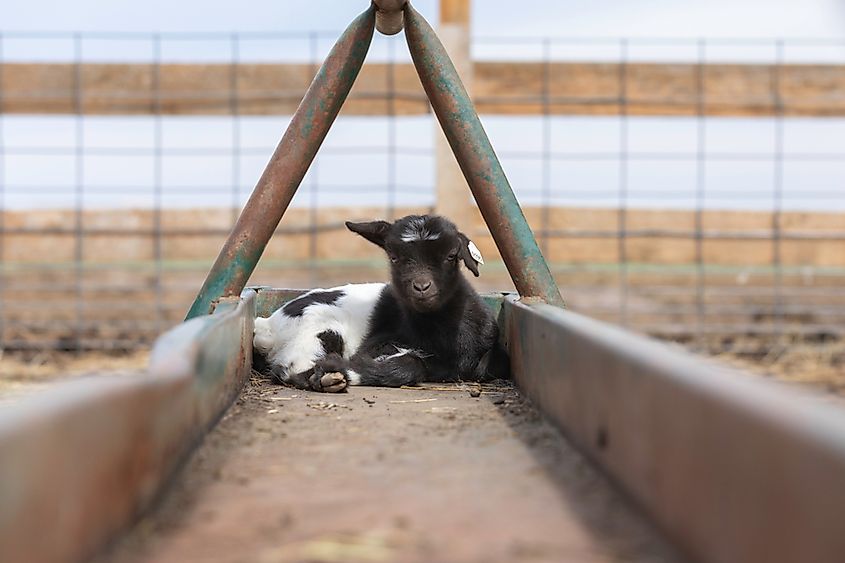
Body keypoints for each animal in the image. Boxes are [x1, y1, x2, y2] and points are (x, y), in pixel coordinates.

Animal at [252, 214, 508, 394]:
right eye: (393, 257)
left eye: (451, 255)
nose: (422, 287)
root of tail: (267, 325)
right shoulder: (378, 343)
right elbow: (409, 364)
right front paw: (338, 370)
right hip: (318, 330)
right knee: (288, 368)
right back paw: (328, 379)